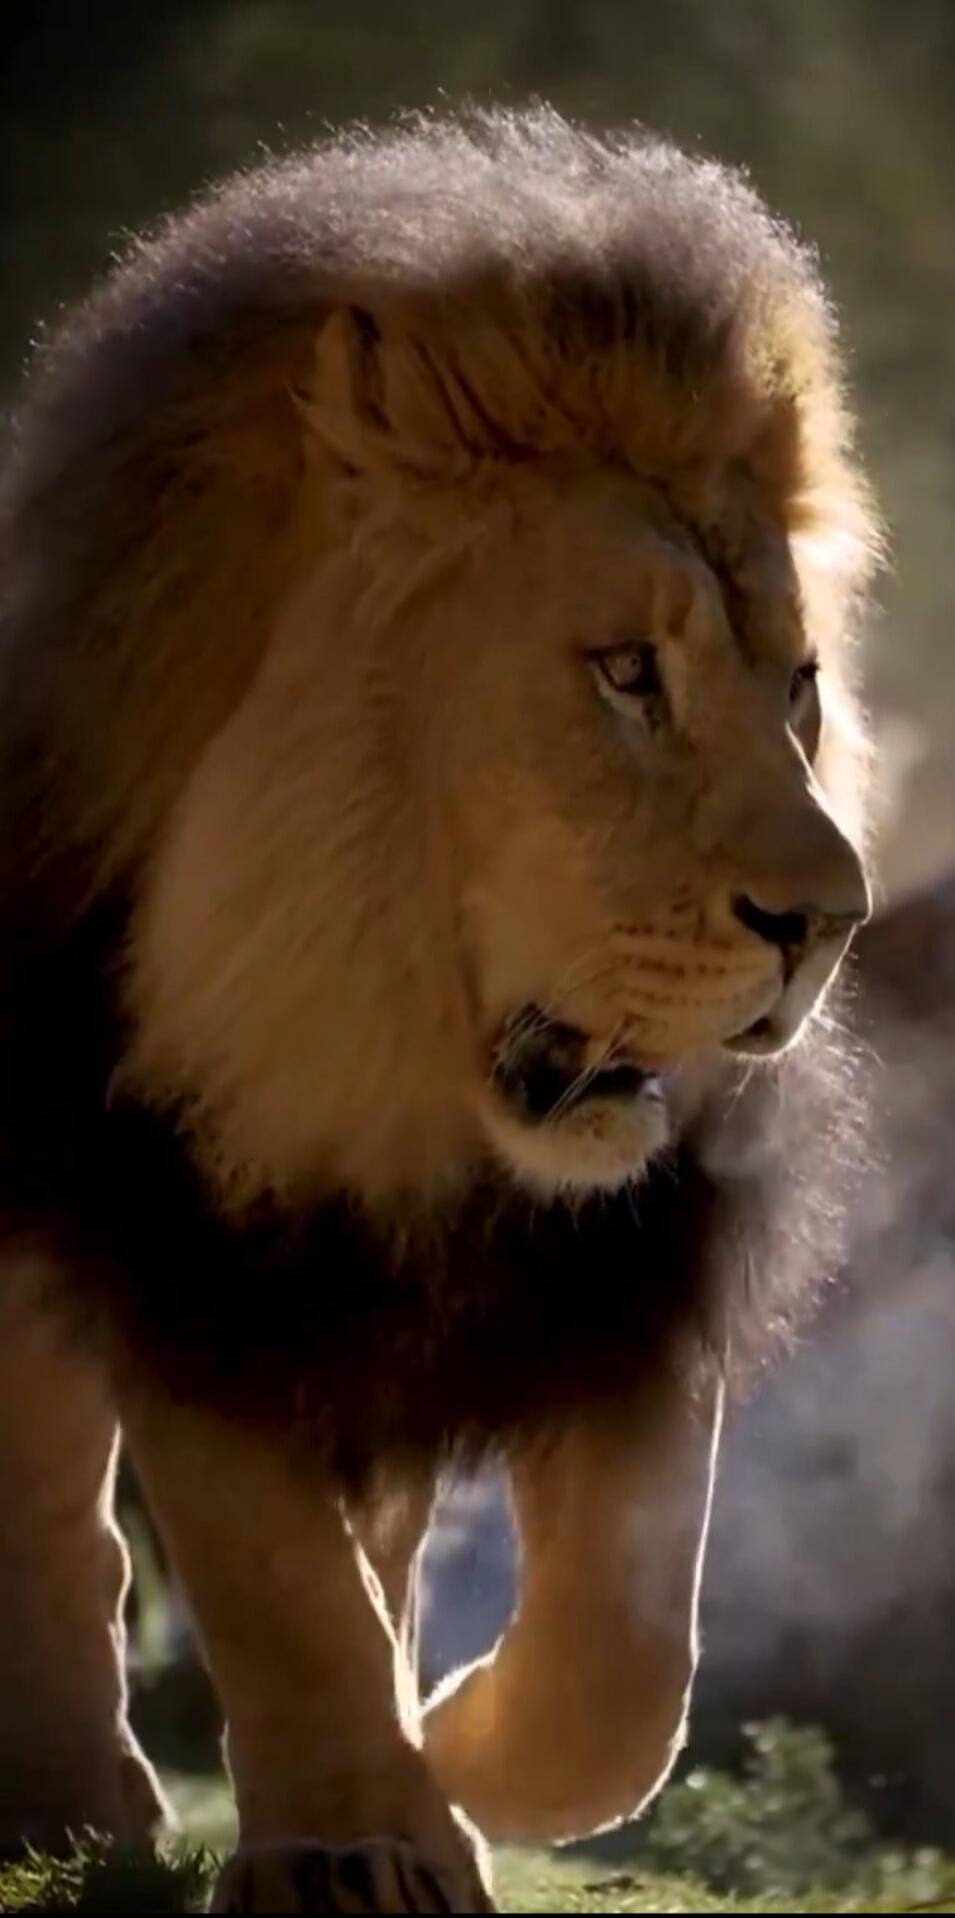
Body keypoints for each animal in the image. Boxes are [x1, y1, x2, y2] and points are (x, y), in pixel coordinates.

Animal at [0, 108, 877, 1911]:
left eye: (799, 686)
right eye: (624, 672)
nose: (828, 924)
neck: (374, 1060)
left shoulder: (643, 1246)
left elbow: (630, 1646)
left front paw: (463, 1753)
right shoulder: (175, 1205)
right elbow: (265, 1564)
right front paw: (350, 1840)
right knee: (51, 1482)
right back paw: (69, 1801)